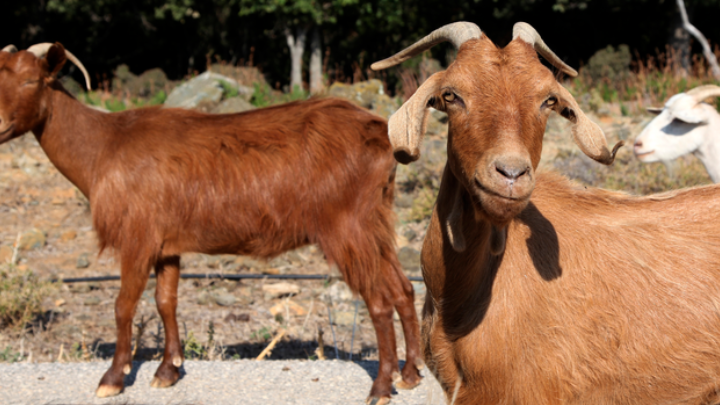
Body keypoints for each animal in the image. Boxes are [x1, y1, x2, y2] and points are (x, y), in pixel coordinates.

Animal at [0, 42, 422, 402]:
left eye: (31, 80)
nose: (0, 125)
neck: (103, 147)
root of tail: (381, 132)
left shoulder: (138, 238)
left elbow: (123, 305)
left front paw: (113, 379)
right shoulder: (166, 246)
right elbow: (165, 301)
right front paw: (167, 371)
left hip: (346, 227)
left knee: (378, 301)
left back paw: (380, 388)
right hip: (375, 223)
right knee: (403, 289)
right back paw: (410, 375)